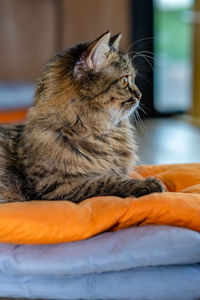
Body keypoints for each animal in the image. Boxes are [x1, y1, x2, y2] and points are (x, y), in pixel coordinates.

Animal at [0, 31, 164, 203]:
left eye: (132, 79)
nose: (140, 95)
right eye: (125, 80)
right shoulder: (54, 186)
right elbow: (106, 182)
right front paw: (149, 184)